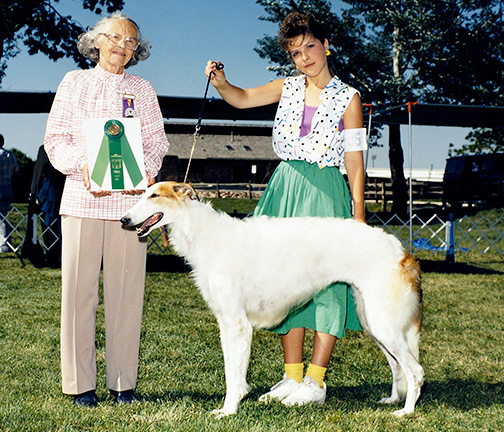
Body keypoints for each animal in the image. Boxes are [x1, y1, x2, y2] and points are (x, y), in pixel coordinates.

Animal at [120, 181, 424, 416]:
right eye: (143, 193)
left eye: (154, 195)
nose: (124, 220)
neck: (204, 234)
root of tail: (401, 251)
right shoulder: (225, 322)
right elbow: (232, 371)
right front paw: (231, 404)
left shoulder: (238, 324)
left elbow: (234, 377)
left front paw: (228, 410)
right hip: (373, 321)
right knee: (398, 367)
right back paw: (392, 399)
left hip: (382, 323)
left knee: (416, 370)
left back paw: (406, 411)